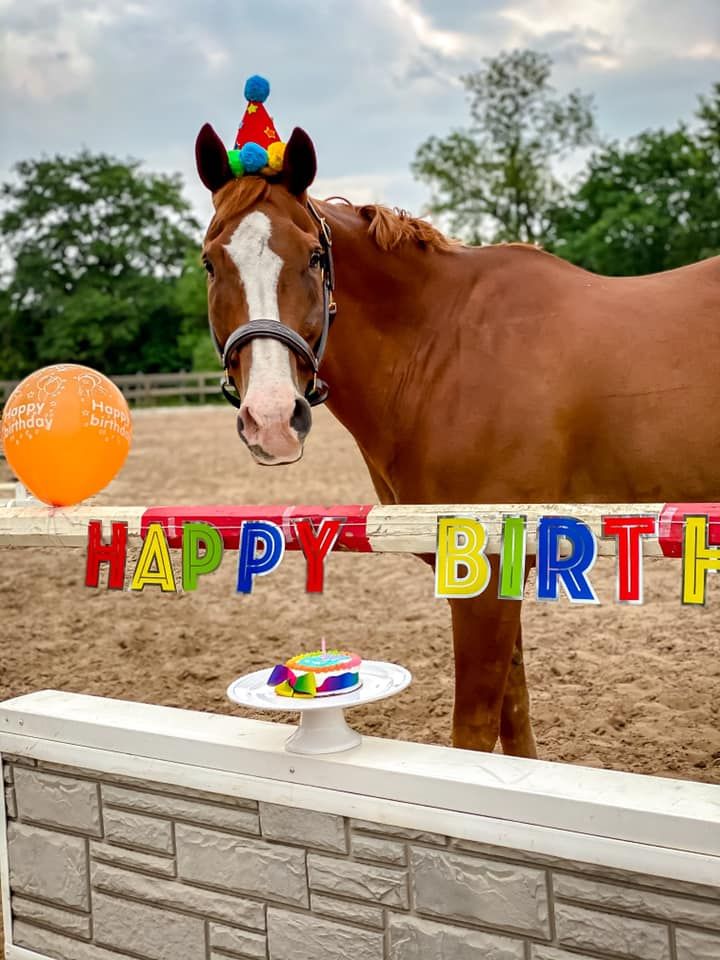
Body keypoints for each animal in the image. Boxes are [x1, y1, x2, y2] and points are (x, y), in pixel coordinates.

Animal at [194, 122, 720, 756]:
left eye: (315, 257)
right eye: (210, 263)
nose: (272, 417)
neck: (445, 346)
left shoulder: (486, 572)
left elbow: (472, 729)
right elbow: (513, 709)